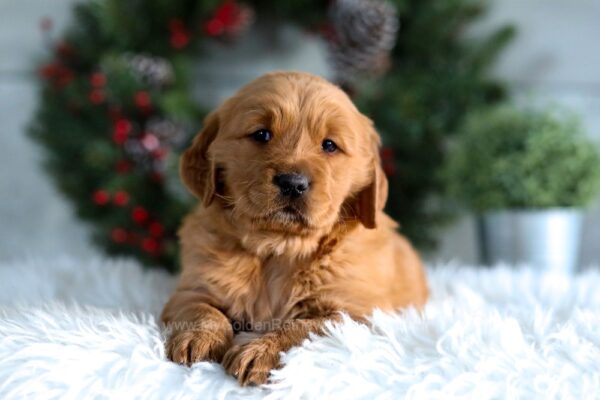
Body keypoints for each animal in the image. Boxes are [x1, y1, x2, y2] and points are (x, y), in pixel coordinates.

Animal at [162, 71, 428, 384]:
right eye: (261, 134)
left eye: (329, 145)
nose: (293, 183)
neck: (279, 247)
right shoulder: (191, 288)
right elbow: (200, 309)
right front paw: (198, 339)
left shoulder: (354, 315)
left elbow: (303, 327)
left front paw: (260, 351)